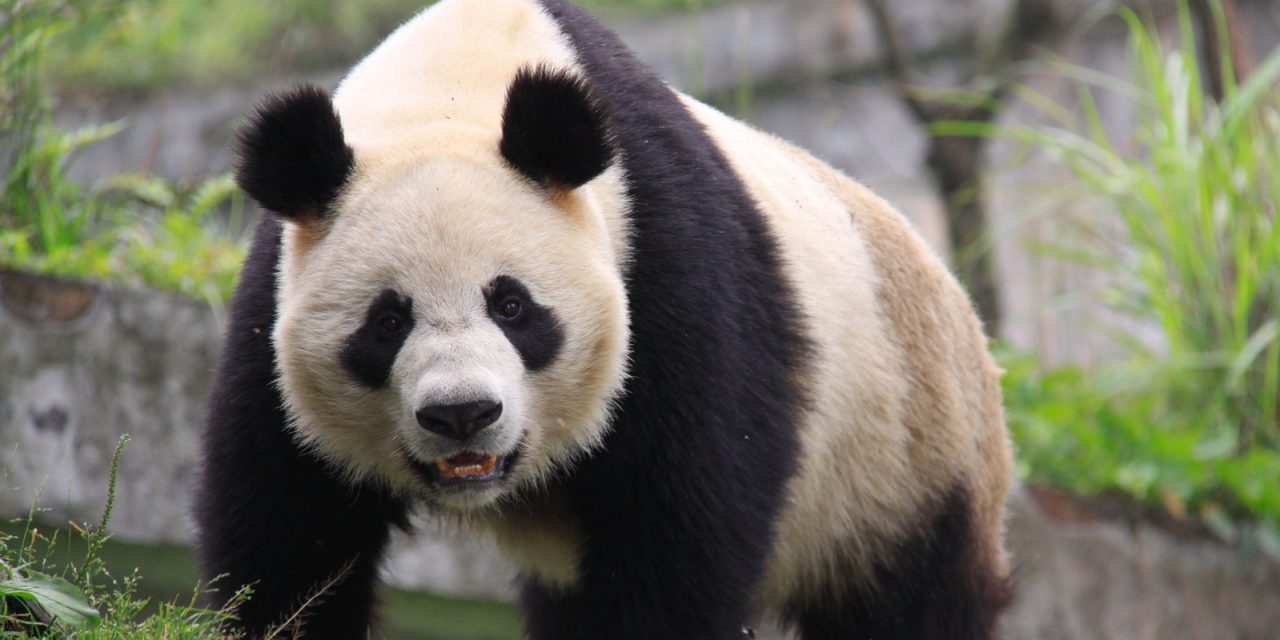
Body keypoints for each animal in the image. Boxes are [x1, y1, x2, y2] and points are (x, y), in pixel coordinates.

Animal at [194, 0, 1014, 638]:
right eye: (387, 322)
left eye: (513, 306)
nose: (462, 415)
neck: (453, 91)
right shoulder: (275, 302)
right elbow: (288, 529)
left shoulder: (672, 267)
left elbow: (680, 530)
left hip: (901, 456)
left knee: (912, 601)